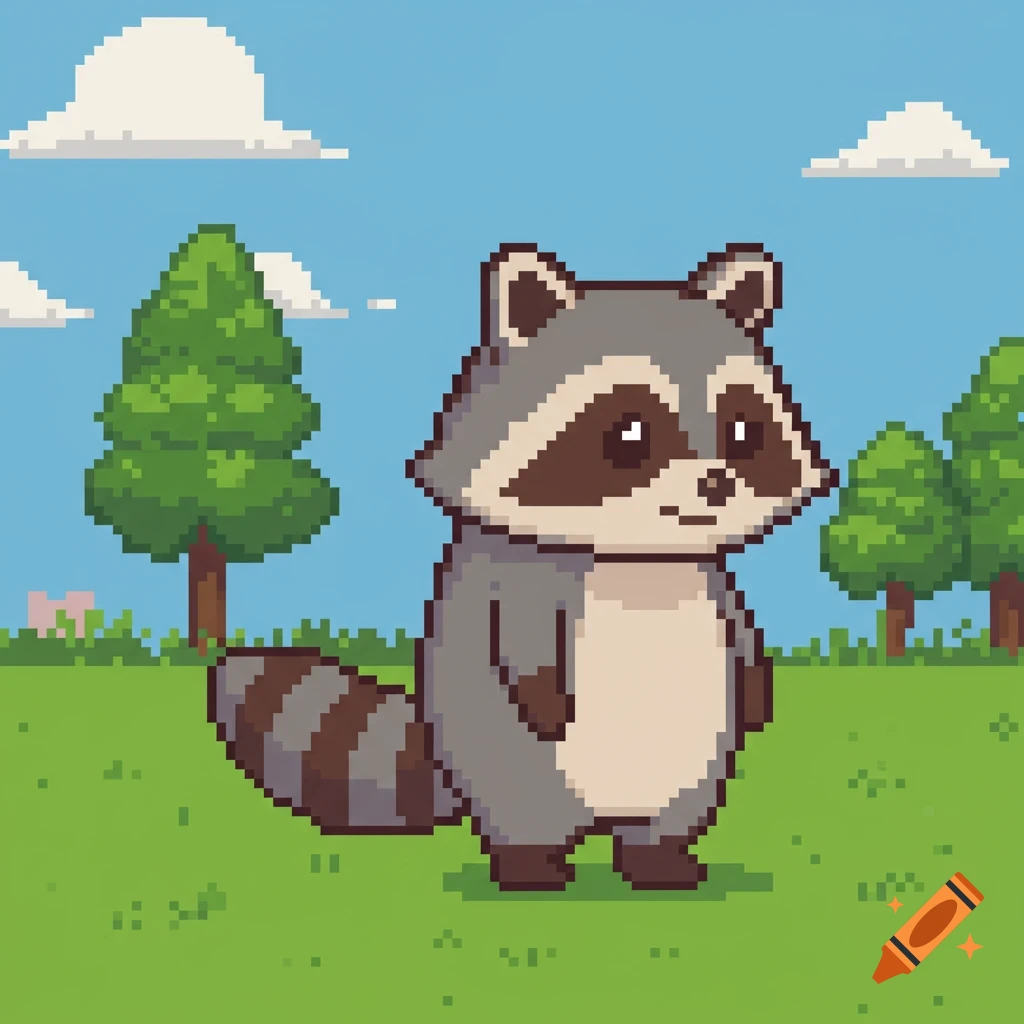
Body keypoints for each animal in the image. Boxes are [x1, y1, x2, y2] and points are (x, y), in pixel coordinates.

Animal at [208, 242, 835, 891]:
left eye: (743, 431)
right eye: (629, 435)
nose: (716, 485)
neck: (636, 552)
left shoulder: (707, 573)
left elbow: (737, 618)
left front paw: (756, 685)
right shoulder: (523, 568)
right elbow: (522, 636)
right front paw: (542, 688)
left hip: (694, 753)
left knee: (672, 810)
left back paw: (657, 858)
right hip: (509, 758)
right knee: (522, 804)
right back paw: (531, 865)